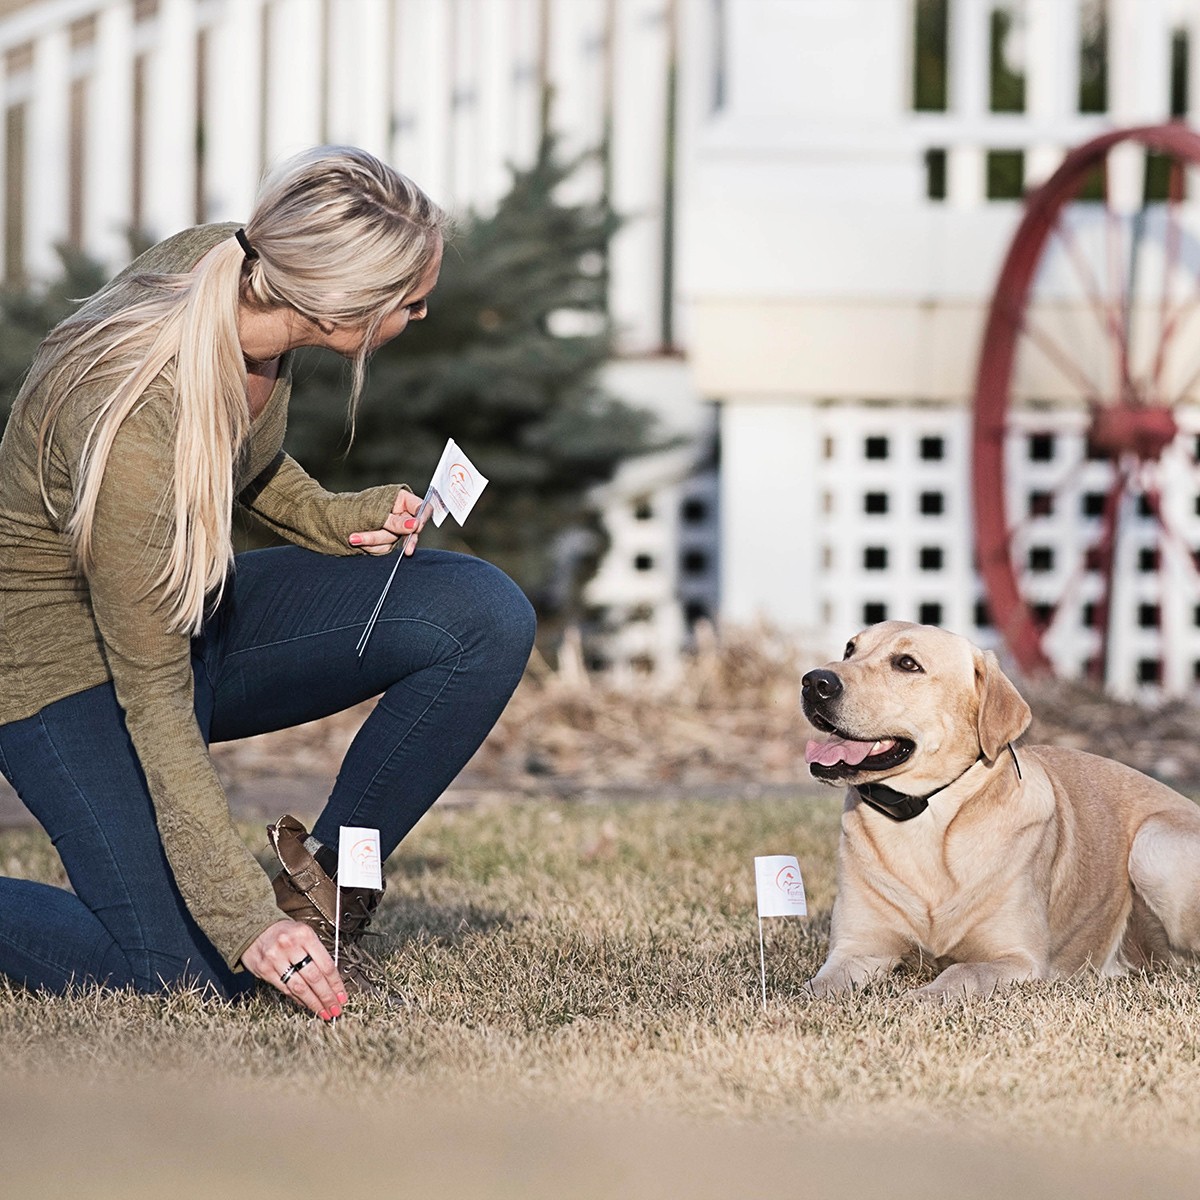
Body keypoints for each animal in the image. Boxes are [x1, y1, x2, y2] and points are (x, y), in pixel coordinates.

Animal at [796, 624, 1200, 998]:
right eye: (849, 649)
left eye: (907, 664)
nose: (814, 681)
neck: (924, 817)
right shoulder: (857, 949)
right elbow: (816, 987)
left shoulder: (1019, 959)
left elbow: (960, 973)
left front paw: (920, 997)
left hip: (1152, 845)